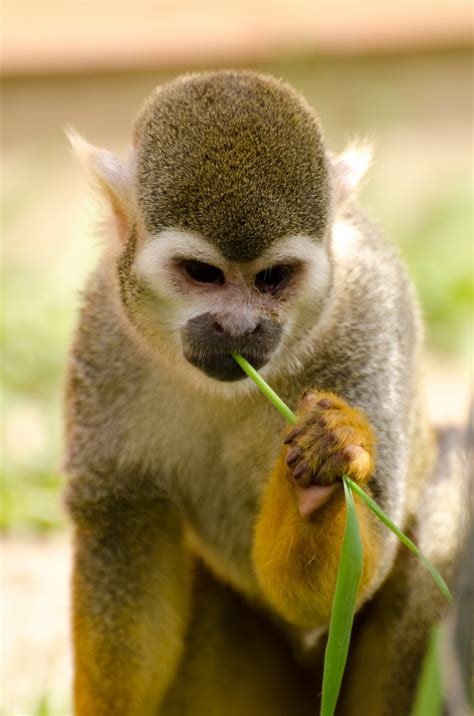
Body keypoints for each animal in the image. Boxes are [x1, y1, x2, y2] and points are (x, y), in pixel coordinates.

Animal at [64, 70, 467, 716]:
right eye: (202, 274)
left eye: (273, 278)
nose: (239, 329)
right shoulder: (106, 328)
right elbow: (125, 528)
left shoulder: (374, 308)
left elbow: (349, 577)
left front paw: (325, 468)